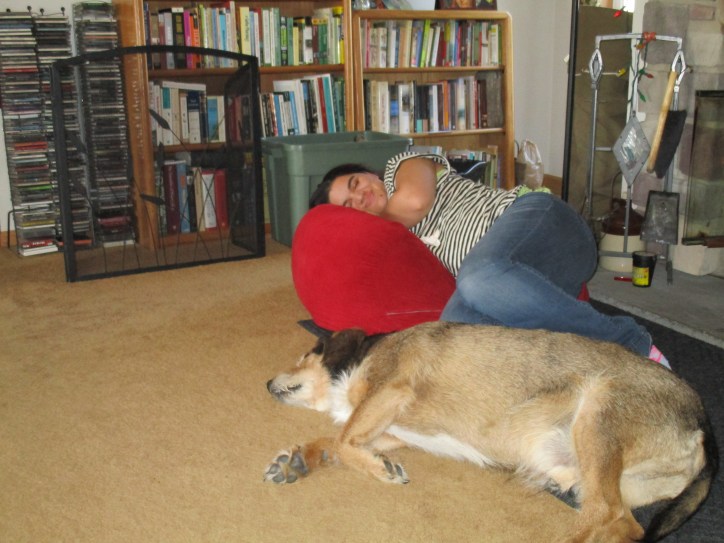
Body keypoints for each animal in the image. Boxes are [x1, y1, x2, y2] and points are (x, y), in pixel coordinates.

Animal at [264, 322, 717, 542]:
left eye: (304, 354)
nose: (267, 384)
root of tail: (703, 419)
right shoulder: (392, 428)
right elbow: (339, 442)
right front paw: (298, 460)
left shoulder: (391, 390)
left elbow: (344, 439)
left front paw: (379, 469)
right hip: (595, 474)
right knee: (625, 524)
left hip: (598, 411)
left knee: (605, 513)